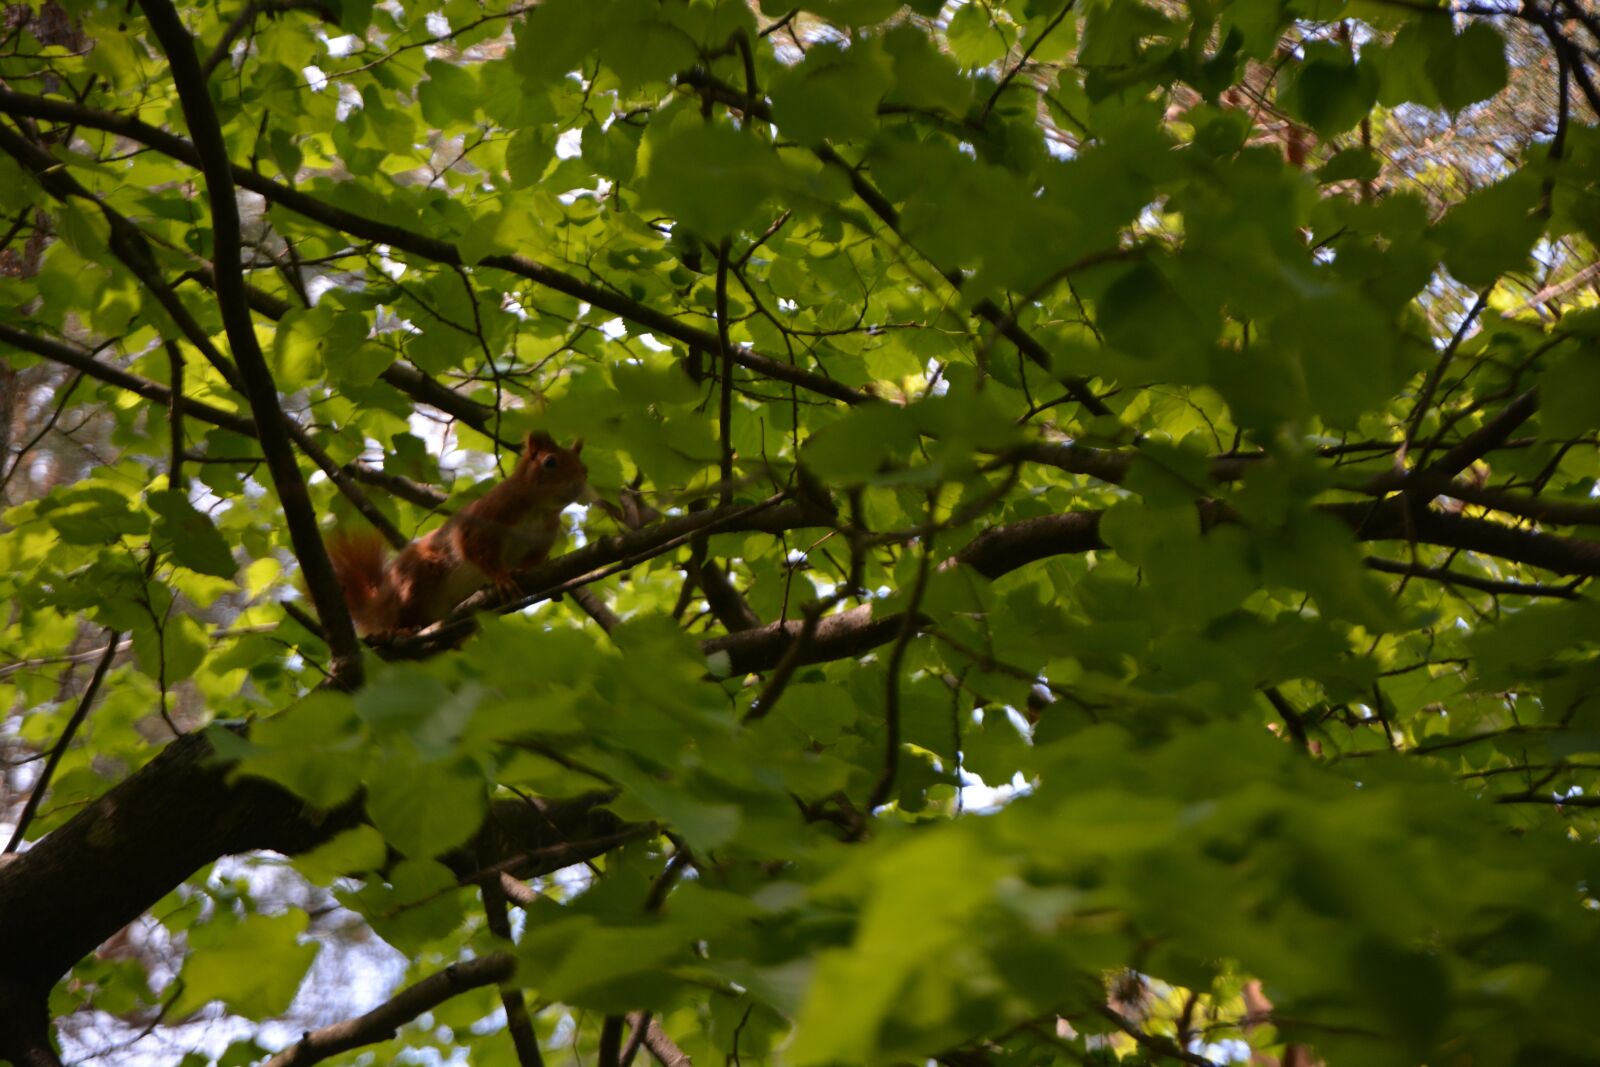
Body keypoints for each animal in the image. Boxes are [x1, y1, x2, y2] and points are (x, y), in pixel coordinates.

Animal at [326, 431, 588, 635]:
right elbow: (473, 548)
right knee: (400, 614)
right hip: (415, 579)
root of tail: (378, 605)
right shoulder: (486, 516)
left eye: (585, 468)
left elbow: (533, 563)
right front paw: (501, 577)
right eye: (550, 462)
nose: (579, 486)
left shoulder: (541, 541)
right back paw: (400, 630)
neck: (540, 510)